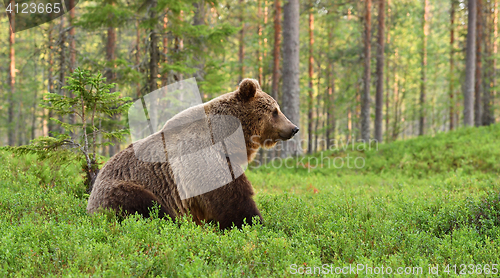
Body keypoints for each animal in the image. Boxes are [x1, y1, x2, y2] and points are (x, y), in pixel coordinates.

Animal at [86, 77, 298, 228]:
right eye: (275, 111)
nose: (294, 128)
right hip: (124, 188)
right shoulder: (206, 161)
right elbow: (232, 200)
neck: (230, 140)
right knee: (148, 206)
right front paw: (255, 223)